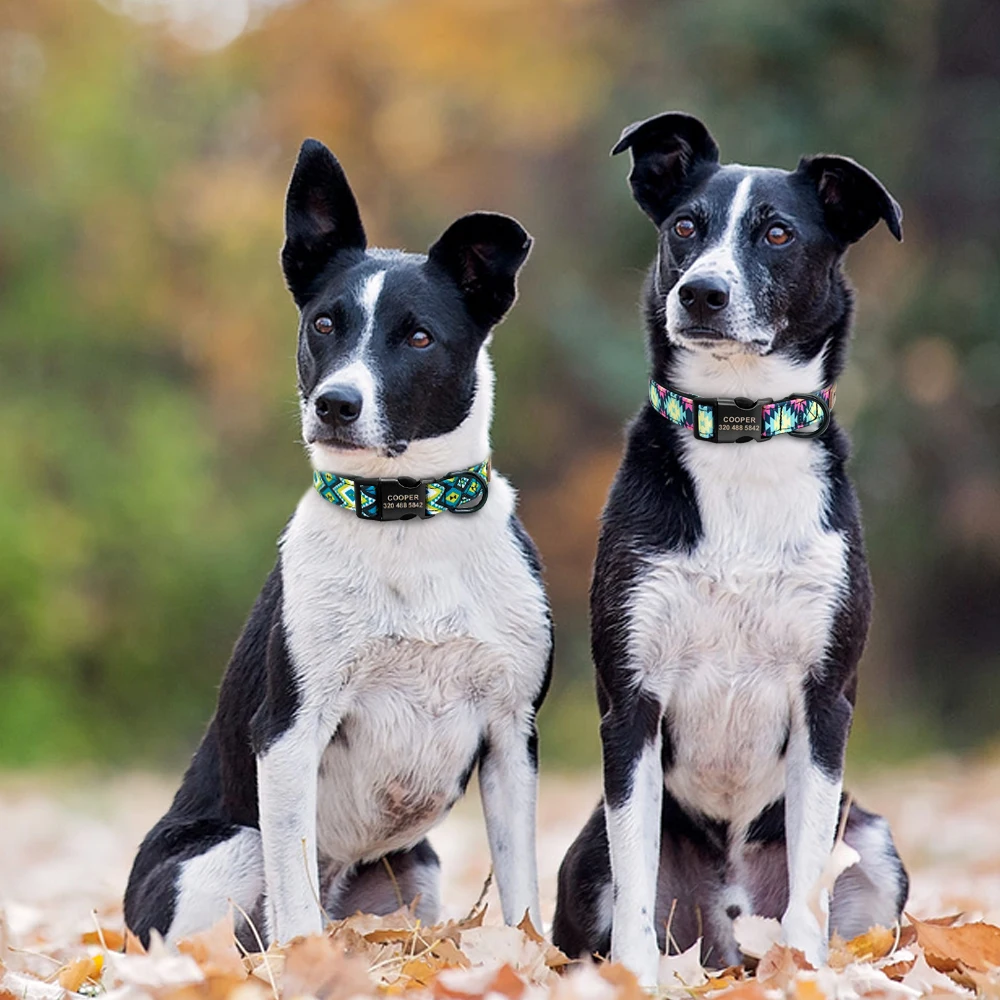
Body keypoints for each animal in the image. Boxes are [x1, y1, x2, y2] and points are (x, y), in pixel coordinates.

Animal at [123, 139, 556, 944]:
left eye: (418, 336)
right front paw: (304, 960)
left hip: (417, 870)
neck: (406, 518)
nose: (336, 404)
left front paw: (533, 957)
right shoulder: (289, 734)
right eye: (325, 324)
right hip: (229, 850)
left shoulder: (512, 737)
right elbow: (293, 902)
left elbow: (522, 895)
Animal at [552, 113, 912, 980]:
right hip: (586, 858)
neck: (741, 431)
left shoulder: (823, 700)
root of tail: (727, 932)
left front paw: (806, 975)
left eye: (778, 233)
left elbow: (811, 873)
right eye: (687, 227)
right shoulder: (632, 699)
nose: (701, 293)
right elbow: (636, 873)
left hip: (875, 843)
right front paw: (636, 981)